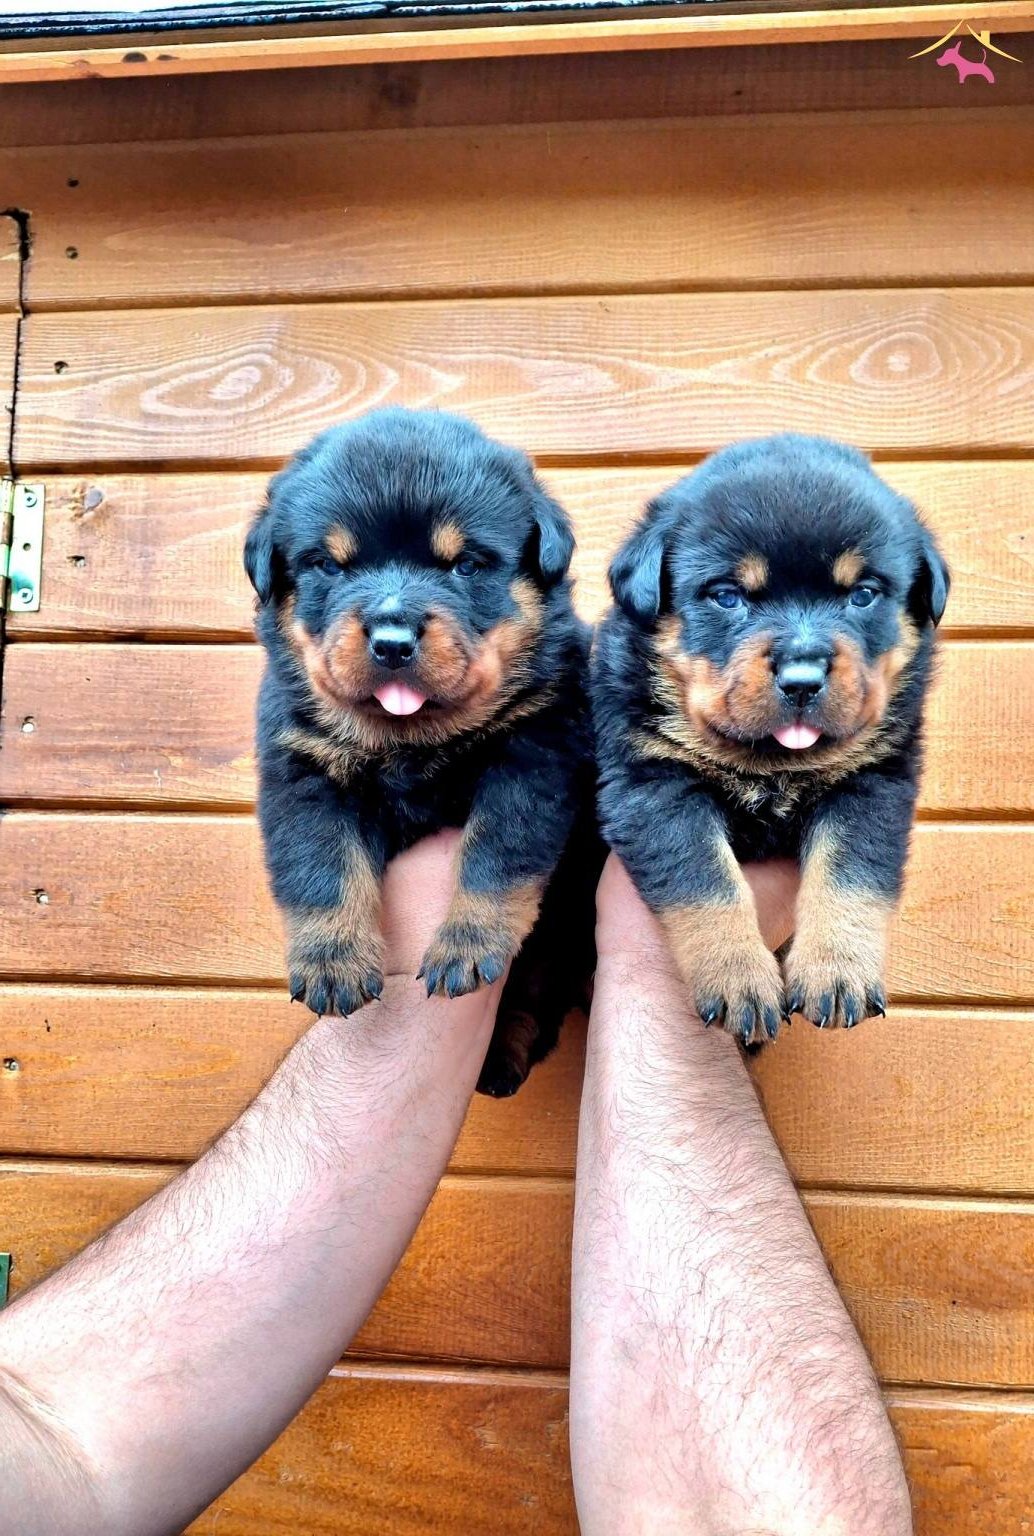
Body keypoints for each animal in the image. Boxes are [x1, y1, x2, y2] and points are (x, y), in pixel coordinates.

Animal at [244, 407, 595, 1095]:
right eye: (330, 566)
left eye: (465, 566)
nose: (392, 639)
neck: (412, 741)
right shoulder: (301, 771)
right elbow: (321, 867)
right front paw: (332, 961)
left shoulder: (534, 754)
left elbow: (496, 854)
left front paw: (468, 943)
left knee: (532, 999)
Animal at [591, 434, 949, 1044]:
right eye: (728, 596)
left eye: (863, 595)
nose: (802, 679)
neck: (771, 762)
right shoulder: (653, 784)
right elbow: (706, 881)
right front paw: (738, 978)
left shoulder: (873, 783)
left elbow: (850, 874)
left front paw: (837, 971)